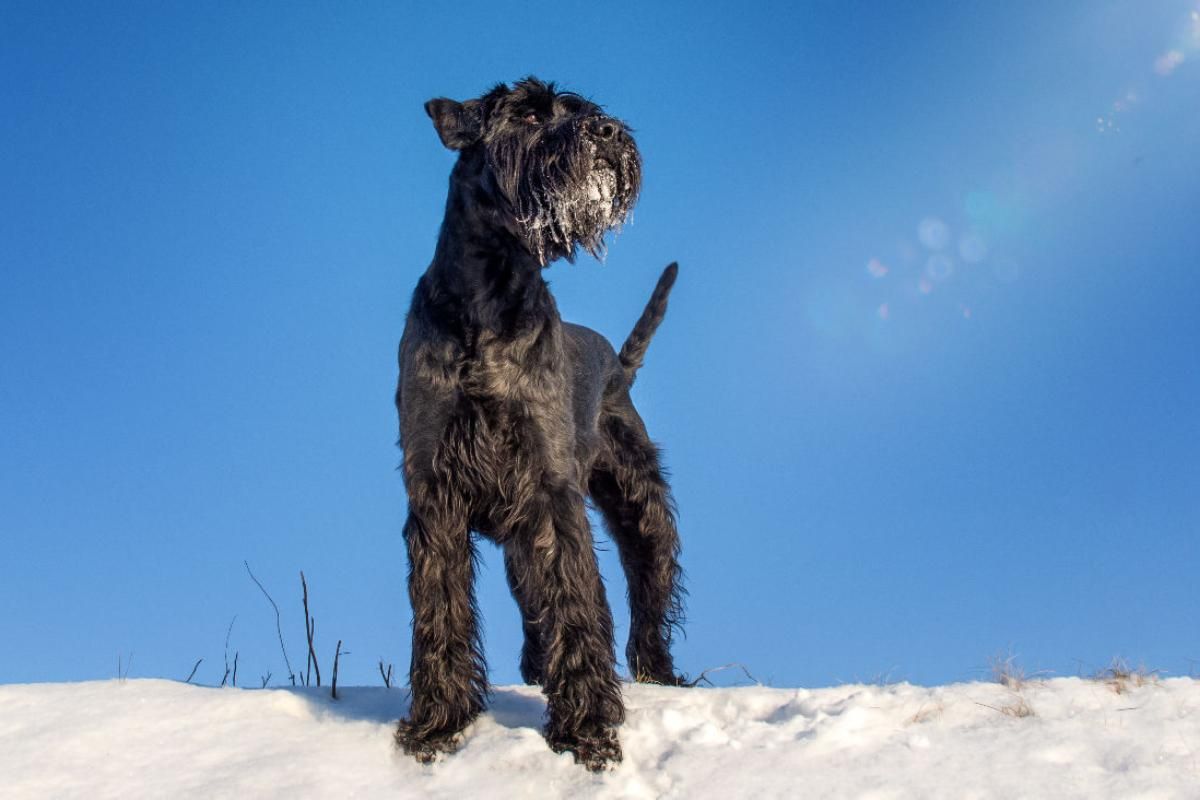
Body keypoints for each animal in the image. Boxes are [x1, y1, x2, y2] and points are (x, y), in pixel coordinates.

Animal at [396, 79, 686, 767]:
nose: (607, 133)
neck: (487, 298)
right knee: (534, 602)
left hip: (638, 503)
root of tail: (615, 363)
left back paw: (659, 673)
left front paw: (588, 729)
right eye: (529, 113)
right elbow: (439, 607)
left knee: (647, 586)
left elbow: (578, 601)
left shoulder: (551, 489)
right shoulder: (434, 490)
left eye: (582, 108)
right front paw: (437, 725)